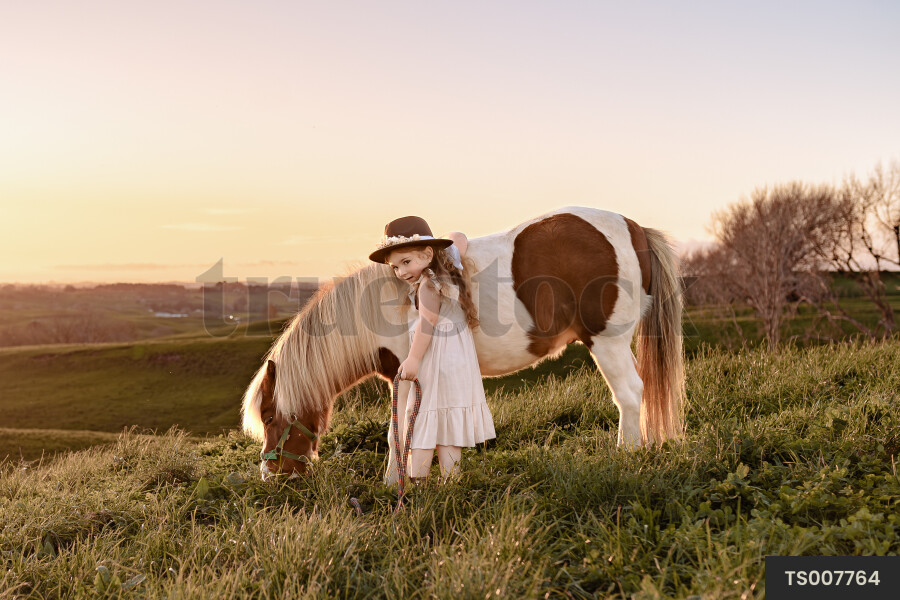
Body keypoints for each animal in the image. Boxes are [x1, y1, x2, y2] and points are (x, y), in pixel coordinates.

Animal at [241, 206, 684, 481]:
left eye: (270, 418)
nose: (271, 477)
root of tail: (634, 228)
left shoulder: (405, 373)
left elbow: (399, 433)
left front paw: (394, 485)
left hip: (607, 341)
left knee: (630, 394)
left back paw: (626, 454)